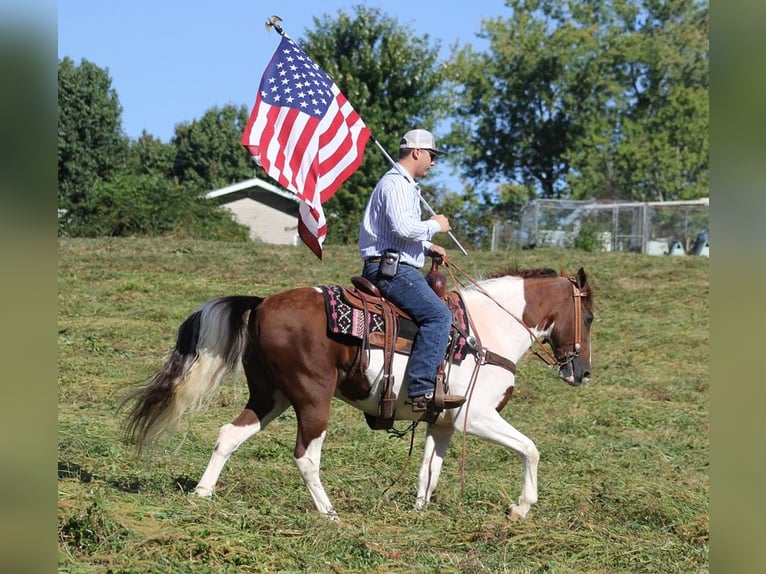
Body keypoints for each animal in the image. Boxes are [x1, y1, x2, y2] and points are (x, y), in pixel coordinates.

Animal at [123, 266, 596, 520]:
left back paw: (202, 494)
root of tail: (262, 304)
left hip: (270, 397)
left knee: (228, 435)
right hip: (312, 398)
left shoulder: (442, 422)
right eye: (589, 317)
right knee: (306, 456)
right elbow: (530, 448)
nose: (583, 373)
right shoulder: (473, 417)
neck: (486, 332)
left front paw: (419, 513)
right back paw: (329, 514)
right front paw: (522, 507)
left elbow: (429, 470)